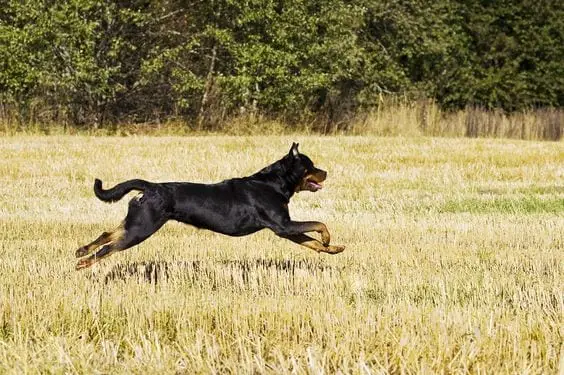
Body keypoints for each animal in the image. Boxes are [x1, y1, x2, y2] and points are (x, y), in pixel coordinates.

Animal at [76, 144, 344, 270]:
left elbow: (311, 243)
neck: (274, 183)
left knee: (107, 234)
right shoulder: (283, 225)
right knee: (109, 247)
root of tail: (151, 187)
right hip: (142, 228)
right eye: (310, 166)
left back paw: (81, 251)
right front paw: (328, 239)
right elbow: (319, 224)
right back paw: (84, 262)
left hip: (136, 222)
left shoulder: (285, 229)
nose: (326, 172)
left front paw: (333, 248)